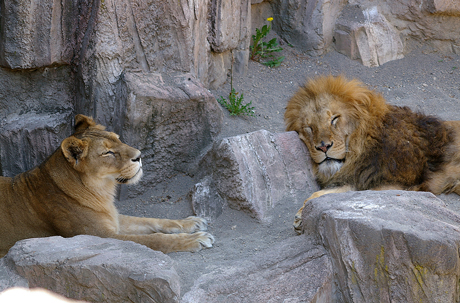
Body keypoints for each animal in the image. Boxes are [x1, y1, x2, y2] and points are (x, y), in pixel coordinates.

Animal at [0, 115, 215, 258]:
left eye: (118, 138)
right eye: (108, 153)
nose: (139, 156)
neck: (101, 191)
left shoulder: (114, 219)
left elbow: (151, 220)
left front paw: (191, 222)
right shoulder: (98, 236)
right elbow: (154, 239)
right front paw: (194, 239)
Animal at [286, 75, 460, 234]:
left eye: (334, 119)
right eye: (309, 128)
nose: (323, 147)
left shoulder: (399, 185)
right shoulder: (356, 178)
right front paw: (301, 214)